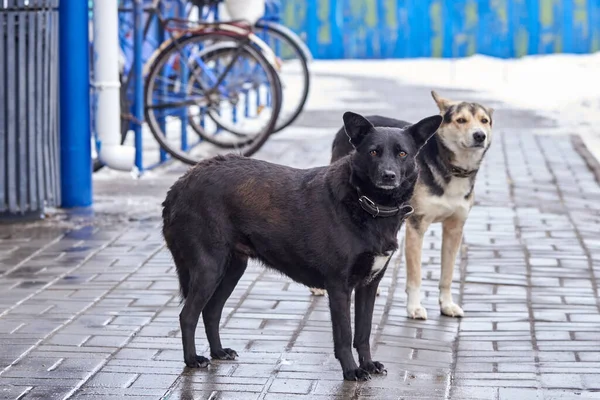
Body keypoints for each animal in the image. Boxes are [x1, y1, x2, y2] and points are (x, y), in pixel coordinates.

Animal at [162, 111, 442, 380]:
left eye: (402, 153)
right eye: (373, 151)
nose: (388, 176)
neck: (368, 204)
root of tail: (182, 181)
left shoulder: (369, 285)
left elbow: (363, 332)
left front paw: (368, 364)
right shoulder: (339, 287)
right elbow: (344, 334)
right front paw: (351, 371)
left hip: (232, 269)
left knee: (211, 311)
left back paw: (219, 351)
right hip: (209, 268)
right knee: (188, 315)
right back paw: (192, 359)